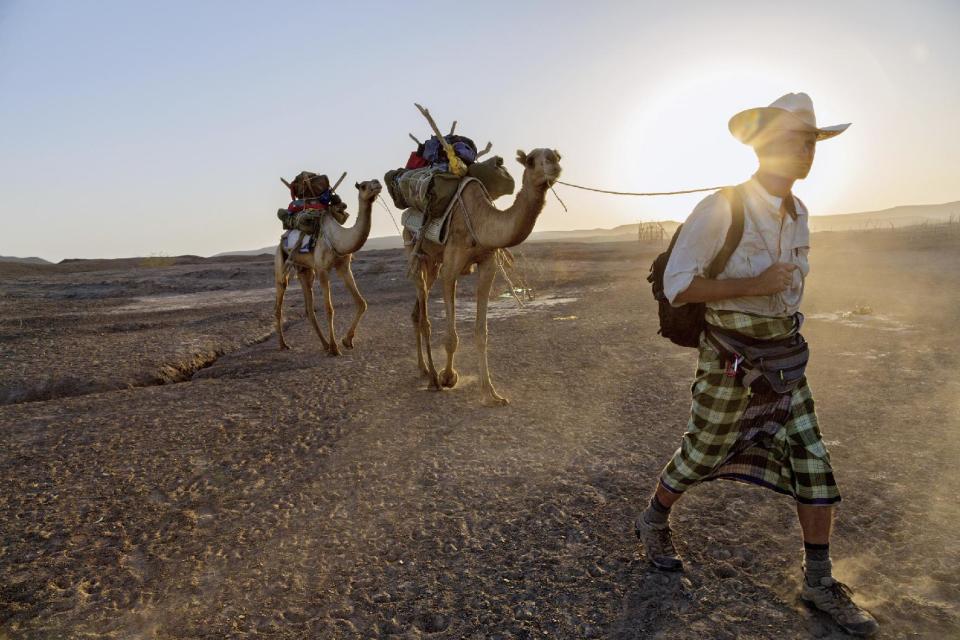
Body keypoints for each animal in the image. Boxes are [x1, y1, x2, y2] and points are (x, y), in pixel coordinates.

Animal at [274, 179, 382, 356]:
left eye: (375, 181)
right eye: (364, 186)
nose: (377, 183)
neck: (338, 239)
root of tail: (283, 238)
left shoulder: (344, 267)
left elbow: (361, 303)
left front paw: (347, 340)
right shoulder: (323, 270)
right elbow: (329, 309)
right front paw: (335, 347)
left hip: (305, 270)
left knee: (309, 309)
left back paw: (324, 344)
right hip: (281, 263)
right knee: (279, 303)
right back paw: (283, 345)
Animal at [404, 149, 564, 404]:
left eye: (557, 156)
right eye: (530, 160)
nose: (553, 164)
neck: (481, 221)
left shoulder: (488, 264)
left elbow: (482, 333)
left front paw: (491, 393)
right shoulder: (450, 269)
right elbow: (451, 337)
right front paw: (448, 376)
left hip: (433, 263)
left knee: (417, 310)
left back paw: (424, 369)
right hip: (414, 250)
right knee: (424, 314)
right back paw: (431, 377)